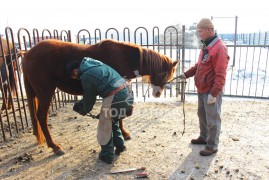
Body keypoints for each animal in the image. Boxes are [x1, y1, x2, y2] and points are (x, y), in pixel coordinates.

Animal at [22, 39, 178, 155]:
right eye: (165, 74)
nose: (157, 93)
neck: (125, 57)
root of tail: (28, 53)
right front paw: (124, 133)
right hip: (45, 91)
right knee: (41, 116)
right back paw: (55, 146)